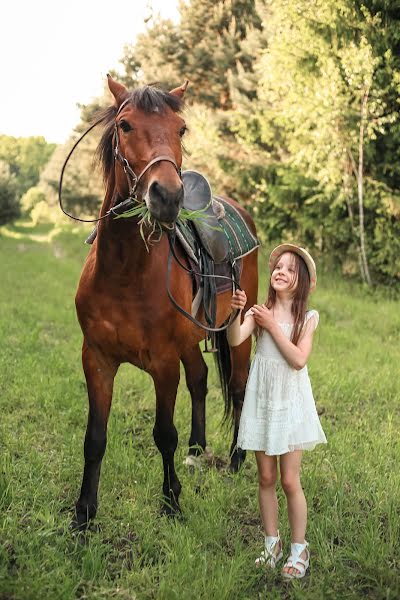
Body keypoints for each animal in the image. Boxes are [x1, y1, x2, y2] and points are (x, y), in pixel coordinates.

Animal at [72, 75, 260, 528]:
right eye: (125, 126)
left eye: (182, 129)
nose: (168, 197)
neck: (124, 273)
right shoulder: (97, 359)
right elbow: (94, 438)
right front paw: (84, 514)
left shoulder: (162, 363)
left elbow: (163, 434)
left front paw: (171, 501)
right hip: (191, 342)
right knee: (201, 380)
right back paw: (197, 451)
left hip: (238, 328)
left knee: (239, 387)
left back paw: (236, 458)